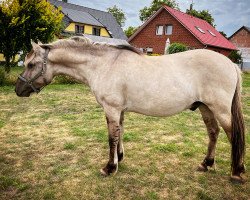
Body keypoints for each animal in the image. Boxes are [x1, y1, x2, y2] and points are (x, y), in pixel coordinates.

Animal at [14, 36, 245, 183]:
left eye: (31, 64)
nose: (18, 89)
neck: (104, 65)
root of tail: (231, 64)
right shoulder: (120, 111)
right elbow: (120, 134)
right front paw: (119, 159)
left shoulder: (112, 109)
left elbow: (111, 137)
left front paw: (109, 168)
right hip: (205, 108)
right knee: (213, 133)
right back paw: (206, 164)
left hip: (221, 110)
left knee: (232, 135)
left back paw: (237, 172)